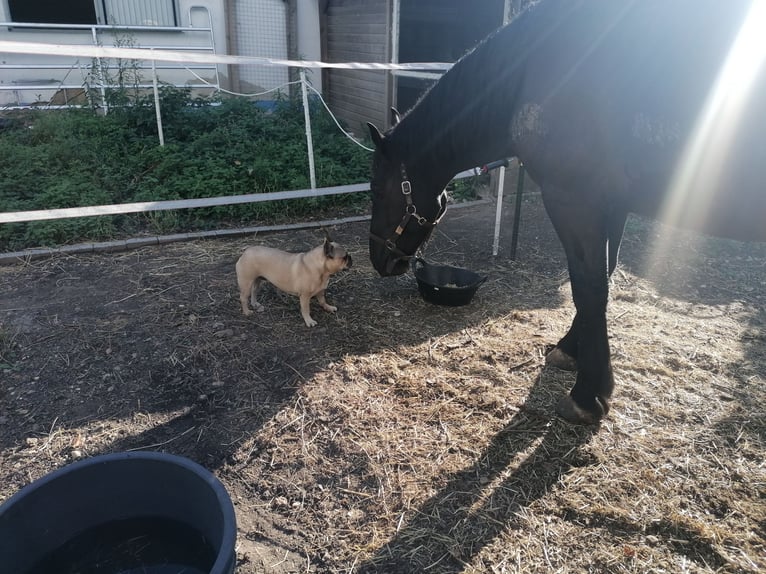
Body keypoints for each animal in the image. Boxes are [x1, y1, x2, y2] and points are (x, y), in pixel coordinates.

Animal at [367, 0, 766, 425]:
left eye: (376, 190)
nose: (379, 259)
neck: (532, 72)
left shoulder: (573, 201)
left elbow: (588, 287)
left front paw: (588, 394)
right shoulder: (611, 205)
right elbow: (603, 277)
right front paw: (572, 350)